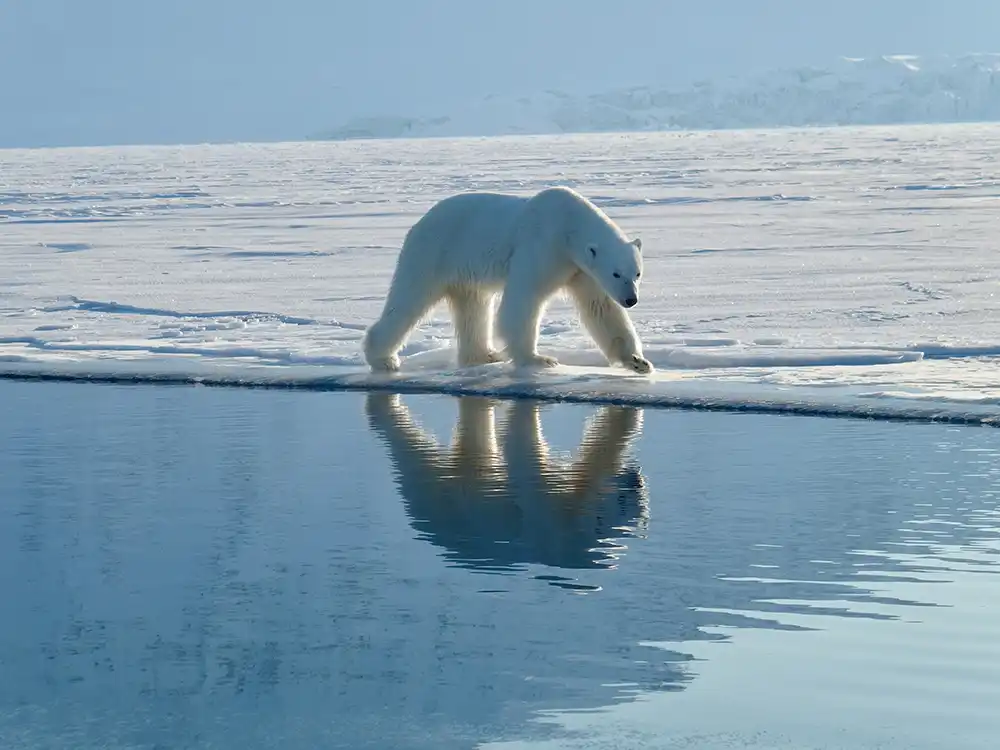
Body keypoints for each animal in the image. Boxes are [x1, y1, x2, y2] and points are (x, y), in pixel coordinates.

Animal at [364, 187, 652, 374]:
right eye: (616, 273)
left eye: (636, 273)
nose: (631, 299)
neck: (569, 226)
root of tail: (419, 222)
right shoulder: (543, 246)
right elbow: (523, 299)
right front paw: (538, 359)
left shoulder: (580, 269)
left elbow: (601, 308)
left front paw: (638, 361)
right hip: (433, 253)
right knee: (409, 300)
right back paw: (384, 359)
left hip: (464, 271)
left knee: (474, 306)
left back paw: (484, 355)